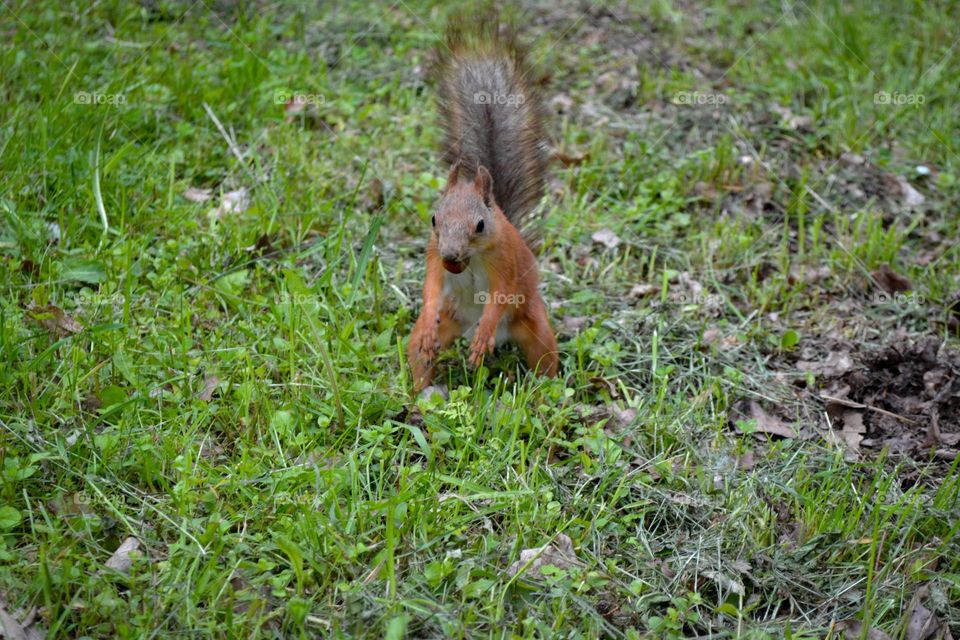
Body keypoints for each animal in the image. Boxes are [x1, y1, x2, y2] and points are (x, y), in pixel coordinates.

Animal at [407, 12, 559, 392]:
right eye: (434, 219)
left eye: (479, 224)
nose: (450, 255)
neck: (472, 259)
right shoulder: (433, 256)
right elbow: (432, 287)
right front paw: (428, 313)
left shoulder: (505, 261)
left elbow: (500, 294)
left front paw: (485, 331)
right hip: (448, 320)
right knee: (418, 350)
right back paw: (417, 389)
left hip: (533, 324)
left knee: (545, 359)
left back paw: (545, 393)